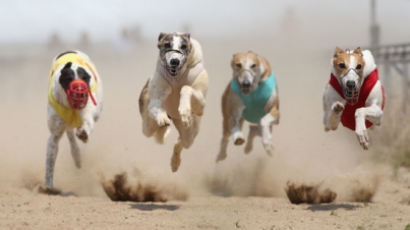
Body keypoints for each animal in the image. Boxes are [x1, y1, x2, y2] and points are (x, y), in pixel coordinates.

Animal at [44, 50, 102, 190]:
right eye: (68, 78)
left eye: (85, 77)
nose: (80, 92)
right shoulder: (55, 134)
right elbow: (50, 161)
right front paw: (48, 186)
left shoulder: (88, 112)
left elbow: (87, 124)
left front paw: (83, 134)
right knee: (70, 134)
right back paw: (77, 155)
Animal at [139, 32, 208, 172]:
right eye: (167, 45)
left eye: (183, 46)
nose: (174, 61)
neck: (177, 76)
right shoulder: (155, 99)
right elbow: (156, 106)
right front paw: (162, 117)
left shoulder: (201, 105)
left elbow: (186, 88)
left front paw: (185, 110)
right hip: (147, 128)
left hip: (190, 134)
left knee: (180, 142)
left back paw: (175, 162)